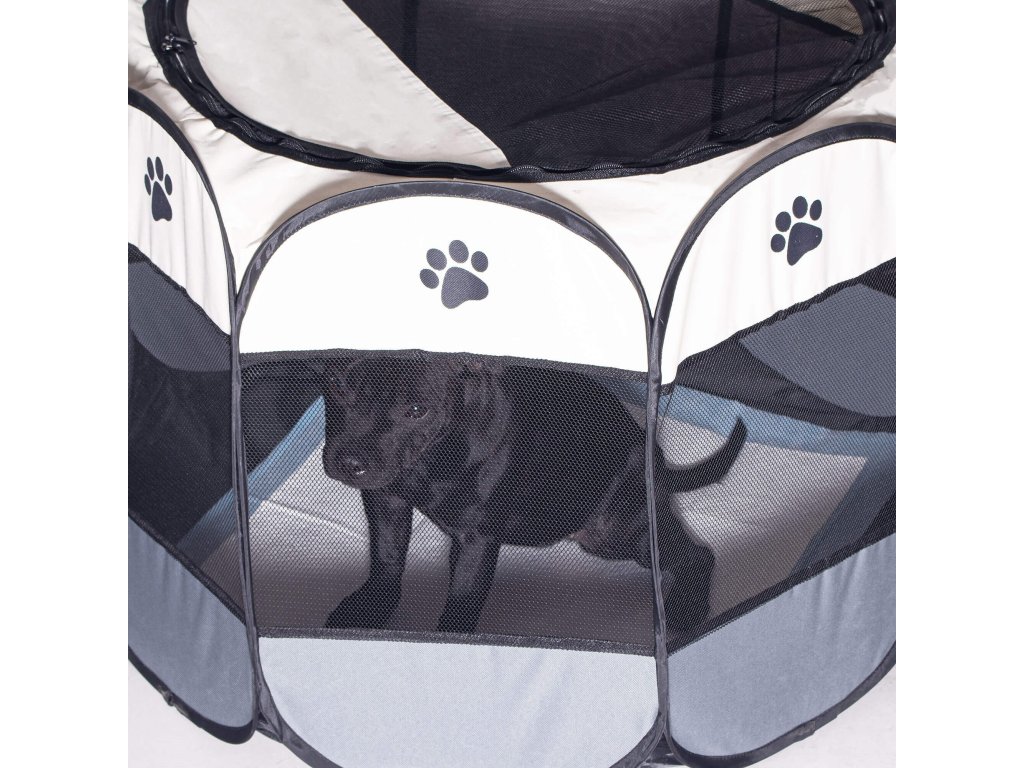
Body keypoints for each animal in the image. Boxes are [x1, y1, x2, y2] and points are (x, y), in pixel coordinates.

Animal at [321, 356, 746, 635]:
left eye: (415, 409)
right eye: (338, 384)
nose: (348, 461)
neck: (431, 458)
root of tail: (658, 466)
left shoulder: (478, 539)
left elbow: (461, 603)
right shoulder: (386, 502)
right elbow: (386, 559)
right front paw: (369, 609)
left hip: (618, 535)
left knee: (697, 554)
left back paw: (687, 608)